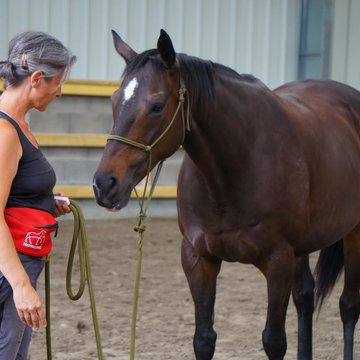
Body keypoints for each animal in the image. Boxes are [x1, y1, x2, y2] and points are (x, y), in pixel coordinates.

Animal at [93, 29, 360, 358]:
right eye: (114, 100)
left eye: (156, 106)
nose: (104, 184)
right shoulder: (198, 259)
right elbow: (204, 339)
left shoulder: (278, 262)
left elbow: (274, 341)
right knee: (305, 298)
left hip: (353, 234)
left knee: (348, 307)